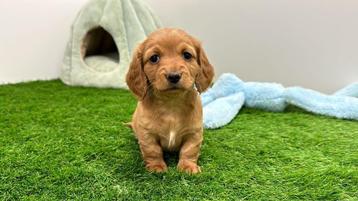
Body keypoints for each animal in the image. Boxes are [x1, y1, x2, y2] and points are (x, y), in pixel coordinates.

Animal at [126, 27, 214, 174]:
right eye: (154, 58)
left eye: (187, 55)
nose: (173, 76)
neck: (171, 103)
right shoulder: (147, 134)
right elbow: (153, 150)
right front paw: (156, 167)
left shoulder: (194, 133)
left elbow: (189, 150)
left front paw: (188, 167)